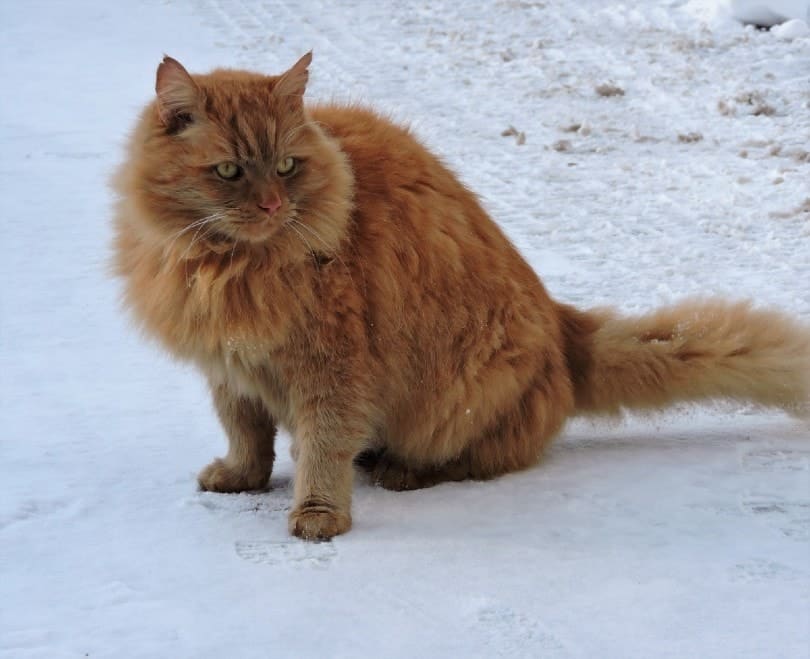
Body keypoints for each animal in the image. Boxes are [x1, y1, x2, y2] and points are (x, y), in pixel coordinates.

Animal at [113, 52, 808, 540]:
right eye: (230, 171)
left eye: (286, 166)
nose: (271, 206)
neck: (227, 267)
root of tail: (565, 332)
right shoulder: (231, 367)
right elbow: (247, 433)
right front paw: (242, 478)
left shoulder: (331, 367)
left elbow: (322, 447)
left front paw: (318, 514)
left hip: (469, 386)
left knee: (472, 457)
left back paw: (400, 469)